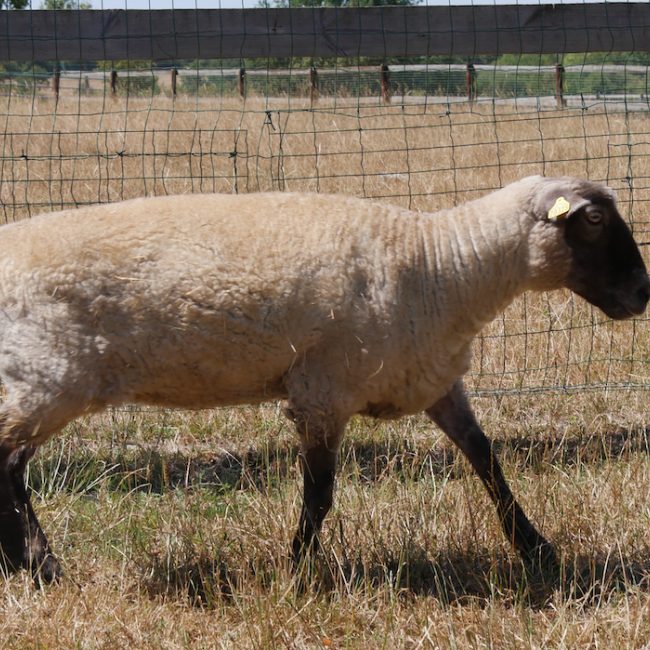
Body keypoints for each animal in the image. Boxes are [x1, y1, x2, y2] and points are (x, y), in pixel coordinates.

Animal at [0, 175, 648, 585]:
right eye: (594, 220)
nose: (643, 294)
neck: (445, 265)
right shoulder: (323, 392)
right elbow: (318, 494)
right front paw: (297, 573)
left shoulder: (431, 379)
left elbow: (487, 460)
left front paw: (537, 550)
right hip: (46, 372)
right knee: (7, 463)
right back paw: (42, 567)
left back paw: (27, 567)